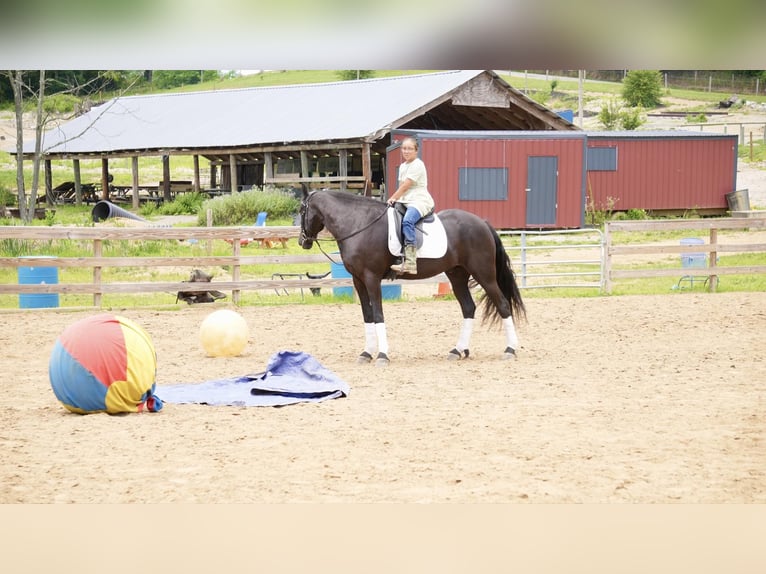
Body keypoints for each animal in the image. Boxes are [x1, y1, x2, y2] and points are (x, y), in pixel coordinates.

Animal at [300, 189, 528, 368]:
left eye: (302, 210)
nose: (303, 242)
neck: (359, 224)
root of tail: (482, 223)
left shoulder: (371, 278)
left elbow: (378, 315)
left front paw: (382, 355)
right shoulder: (358, 280)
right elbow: (367, 315)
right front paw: (366, 353)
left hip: (484, 275)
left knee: (503, 304)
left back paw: (510, 349)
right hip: (457, 276)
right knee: (468, 308)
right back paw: (457, 350)